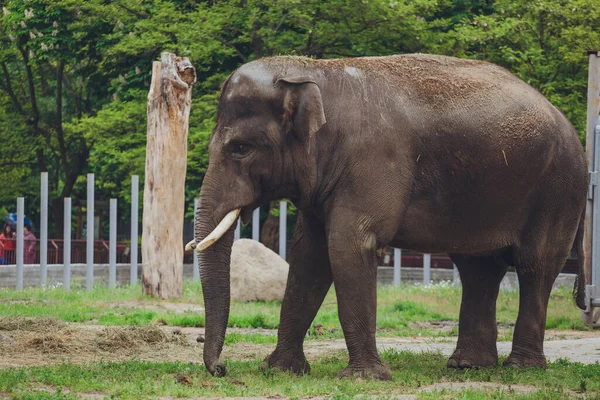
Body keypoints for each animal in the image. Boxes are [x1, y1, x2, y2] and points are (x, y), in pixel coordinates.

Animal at [189, 54, 592, 382]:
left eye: (240, 149)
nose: (221, 368)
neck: (314, 71)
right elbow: (309, 255)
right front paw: (280, 371)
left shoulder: (372, 160)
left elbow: (348, 245)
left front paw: (364, 378)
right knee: (478, 268)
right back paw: (468, 366)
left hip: (558, 188)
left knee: (535, 265)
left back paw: (521, 369)